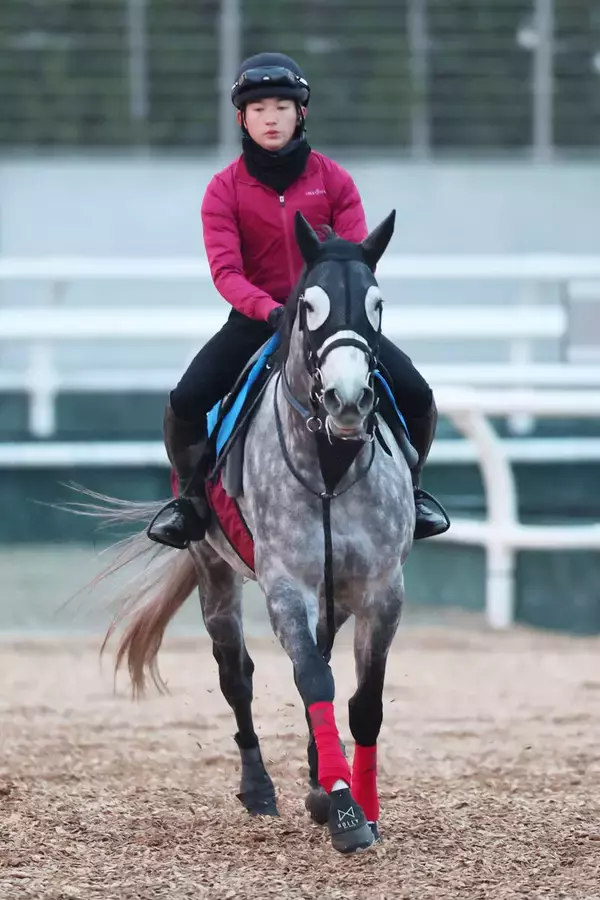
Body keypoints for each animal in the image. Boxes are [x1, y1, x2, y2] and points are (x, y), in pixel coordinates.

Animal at [78, 210, 415, 855]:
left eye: (379, 303)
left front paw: (355, 800)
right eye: (308, 305)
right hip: (214, 574)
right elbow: (312, 680)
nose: (350, 399)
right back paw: (261, 790)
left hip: (332, 596)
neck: (330, 466)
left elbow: (363, 702)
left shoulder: (382, 590)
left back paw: (316, 775)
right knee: (237, 675)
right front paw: (344, 812)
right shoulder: (284, 585)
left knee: (322, 663)